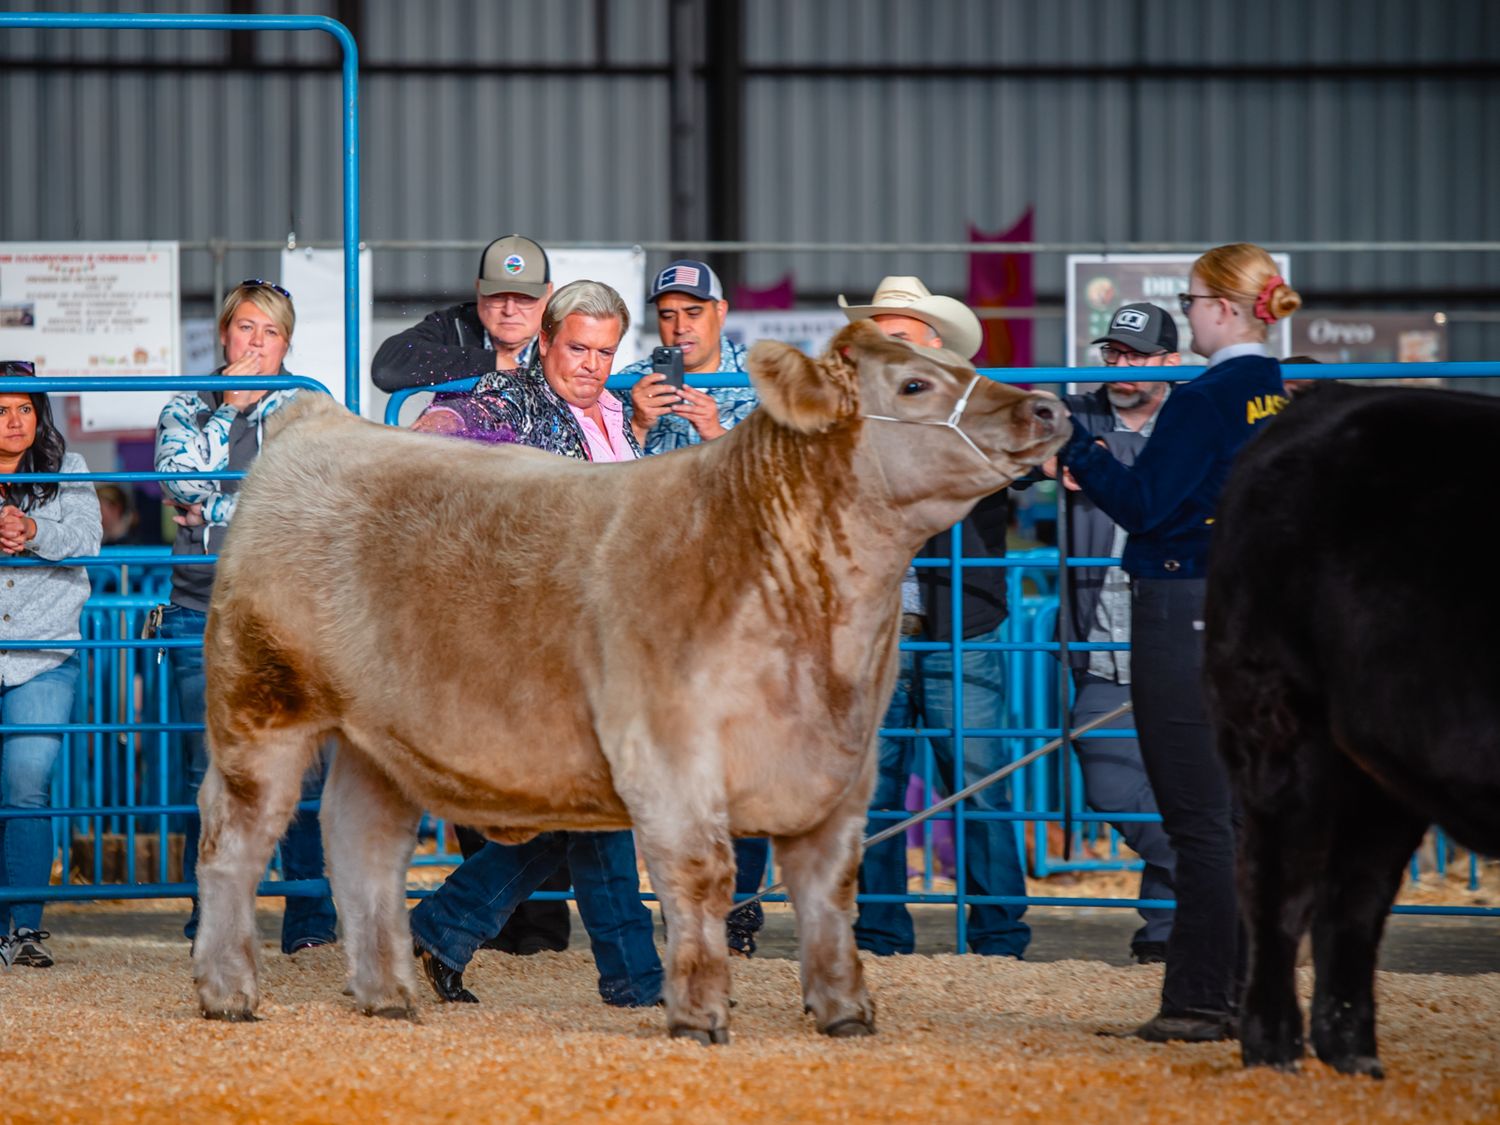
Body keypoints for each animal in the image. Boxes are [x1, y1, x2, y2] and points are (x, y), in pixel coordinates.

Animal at [189, 320, 1068, 1042]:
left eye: (961, 363)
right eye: (914, 385)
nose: (1051, 408)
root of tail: (321, 422)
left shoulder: (845, 770)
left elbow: (830, 890)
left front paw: (845, 1010)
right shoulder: (669, 756)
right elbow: (702, 878)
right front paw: (699, 1012)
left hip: (379, 737)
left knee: (360, 842)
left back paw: (387, 993)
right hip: (261, 702)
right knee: (234, 839)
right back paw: (227, 990)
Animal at [1204, 382, 1500, 1077]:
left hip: (1380, 771)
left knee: (1351, 901)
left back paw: (1353, 1059)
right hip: (1284, 727)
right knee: (1281, 889)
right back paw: (1277, 1054)